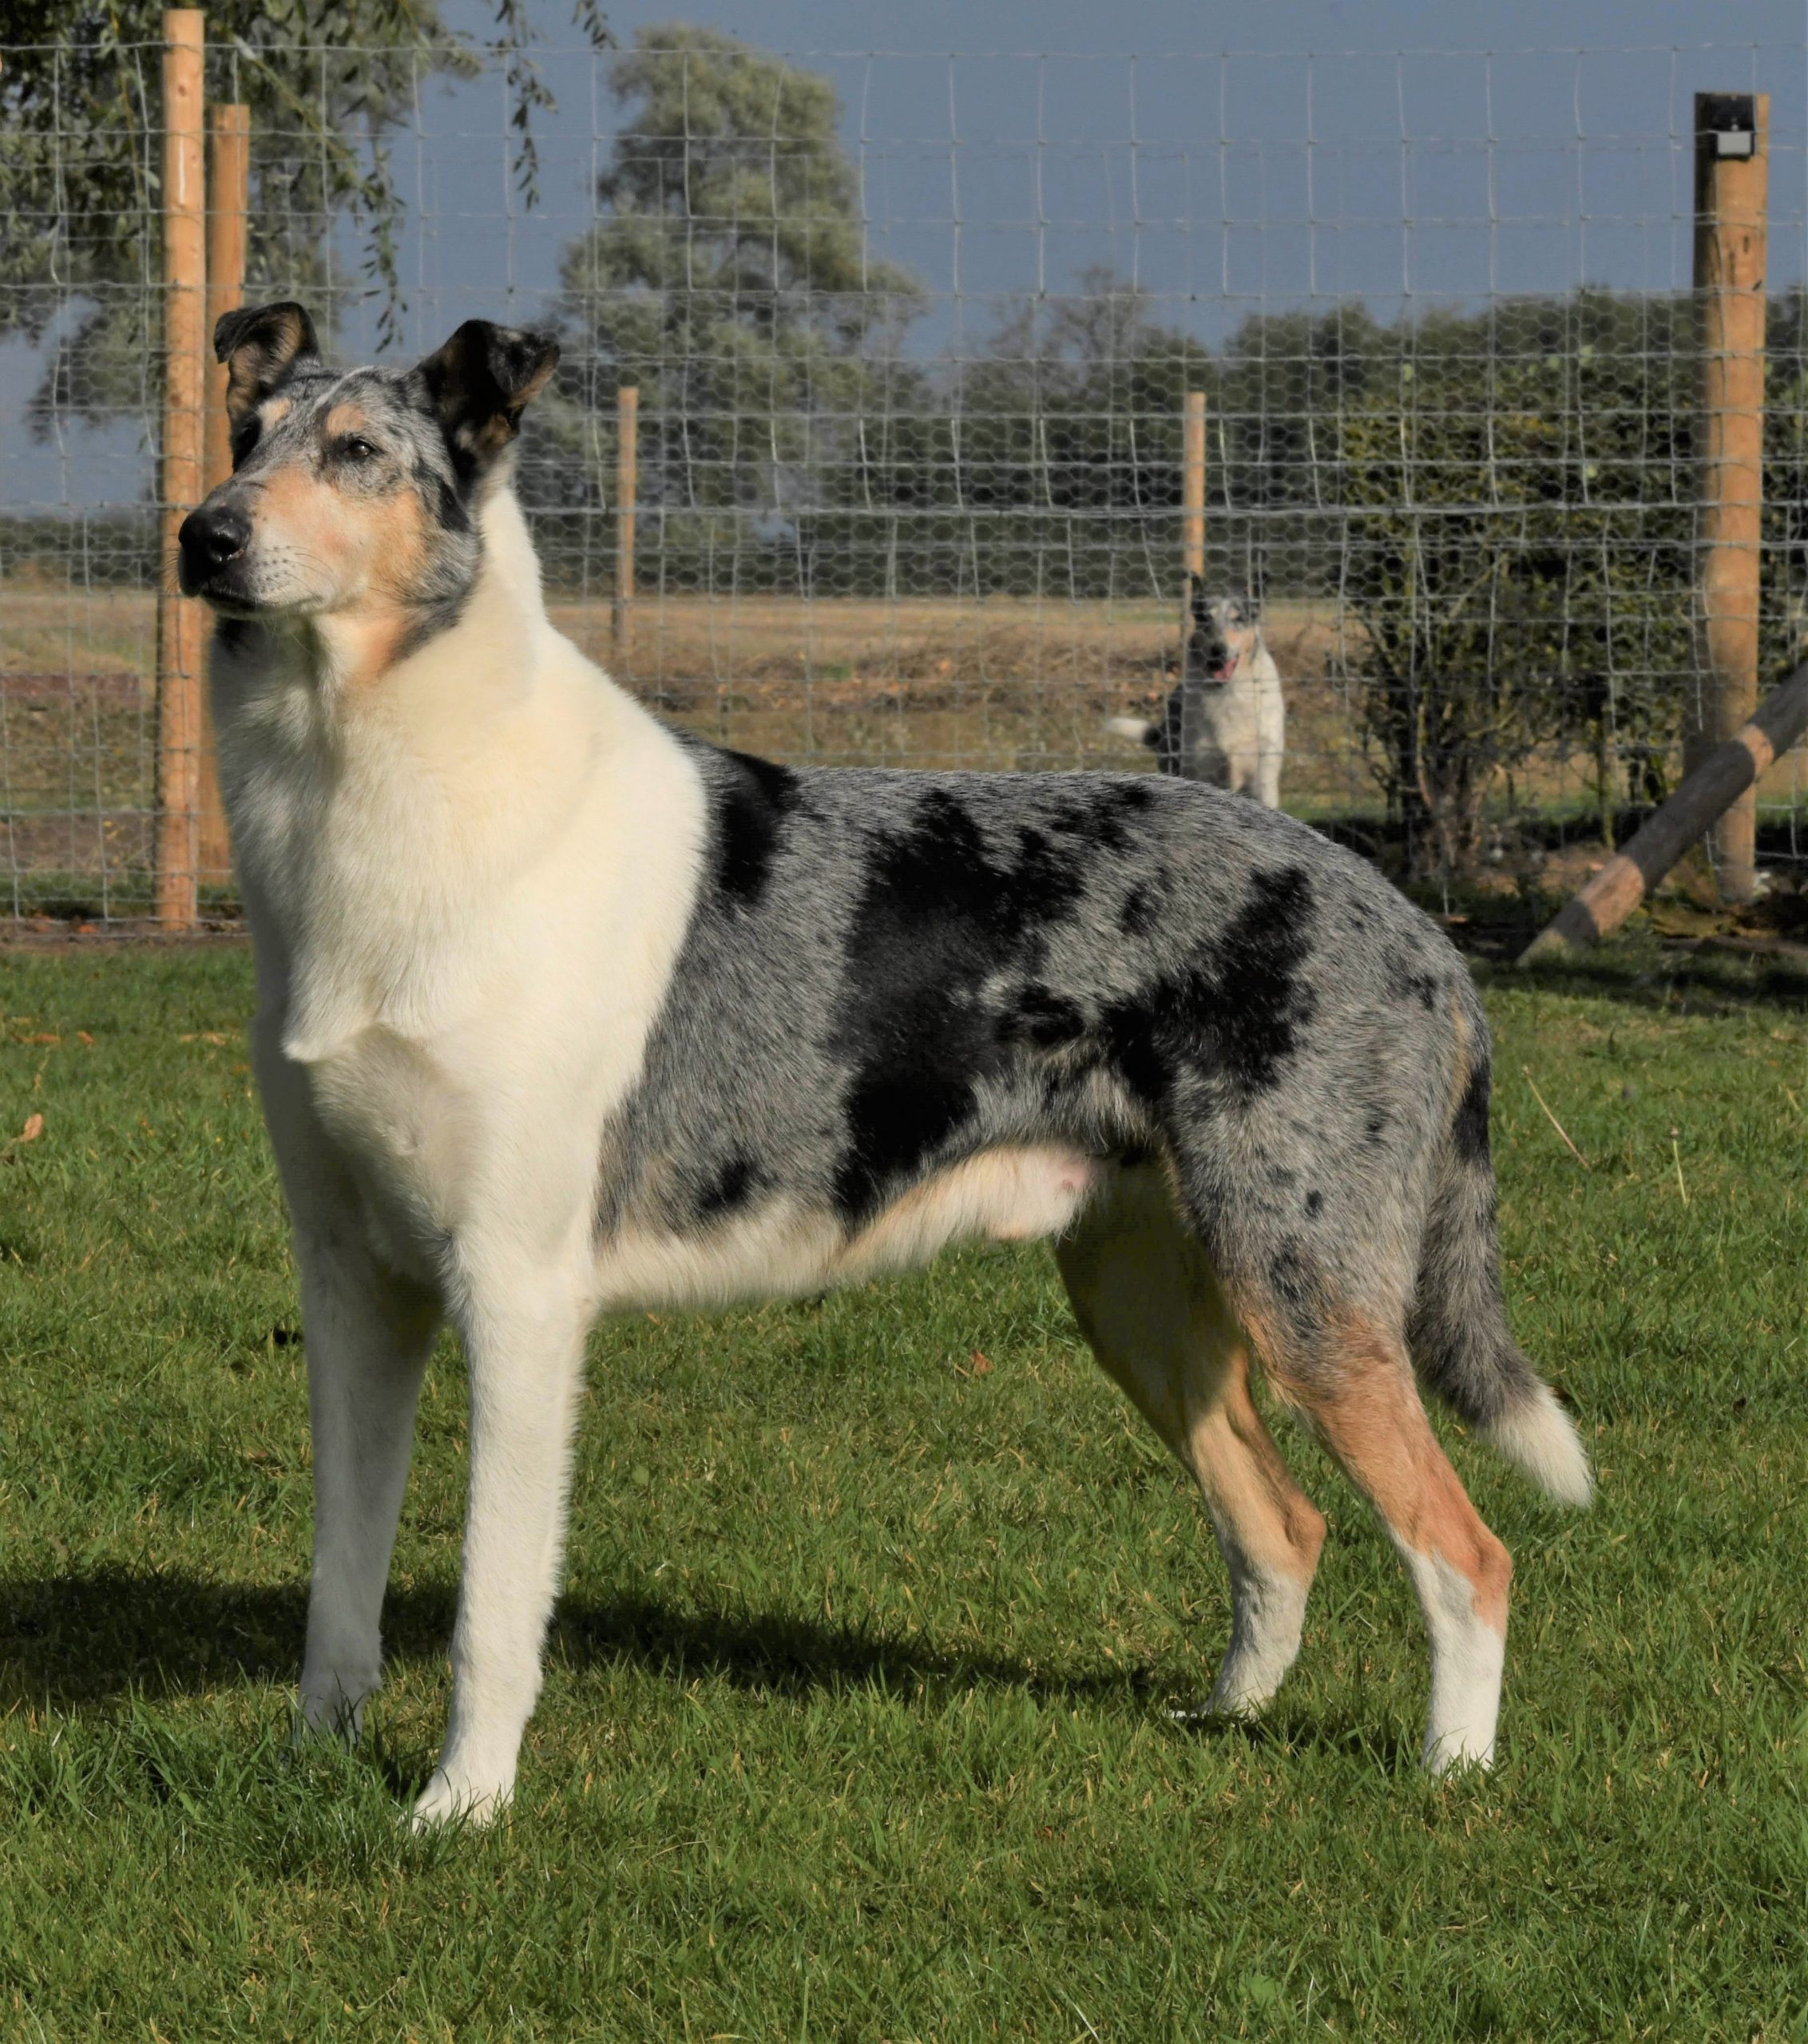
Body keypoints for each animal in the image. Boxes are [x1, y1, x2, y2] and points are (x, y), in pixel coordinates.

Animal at [1104, 576, 1284, 805]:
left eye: (1239, 619)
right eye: (1205, 619)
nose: (1218, 650)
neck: (1227, 692)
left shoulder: (1263, 780)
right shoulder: (1200, 770)